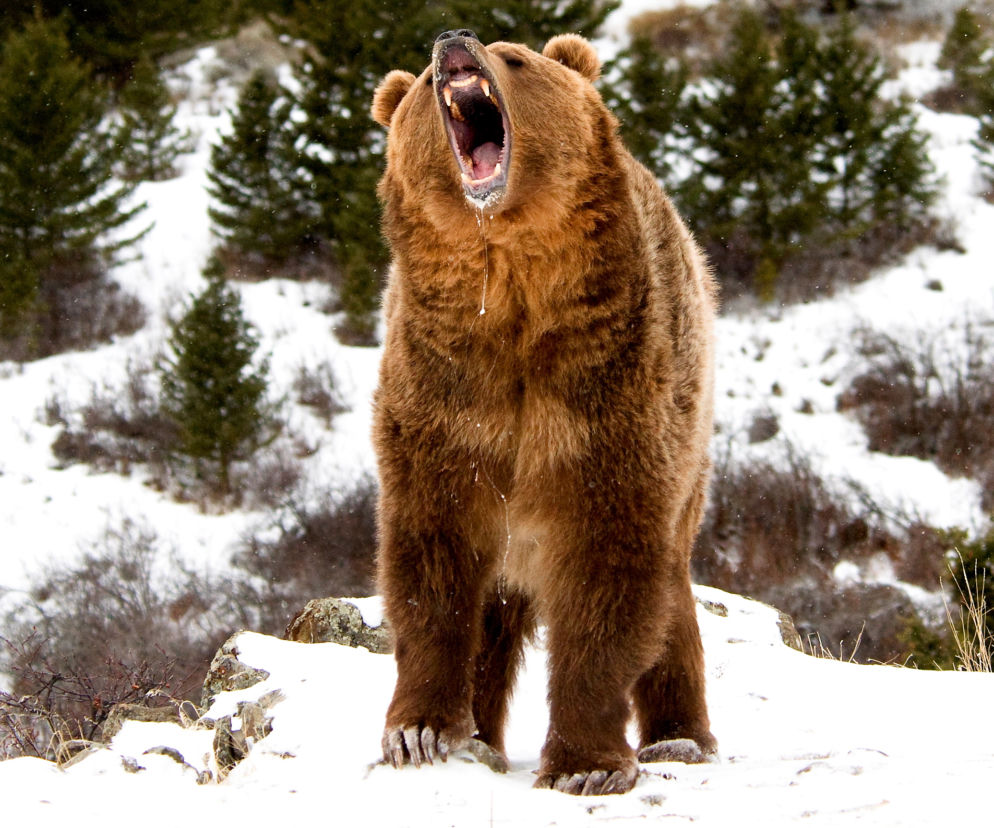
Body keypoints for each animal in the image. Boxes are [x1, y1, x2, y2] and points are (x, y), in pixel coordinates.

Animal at [369, 29, 718, 796]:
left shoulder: (604, 399)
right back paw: (483, 734)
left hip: (690, 446)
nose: (453, 42)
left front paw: (585, 763)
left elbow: (608, 575)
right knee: (495, 619)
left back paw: (680, 739)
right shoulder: (447, 401)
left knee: (672, 599)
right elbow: (431, 566)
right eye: (419, 90)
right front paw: (418, 730)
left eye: (516, 58)